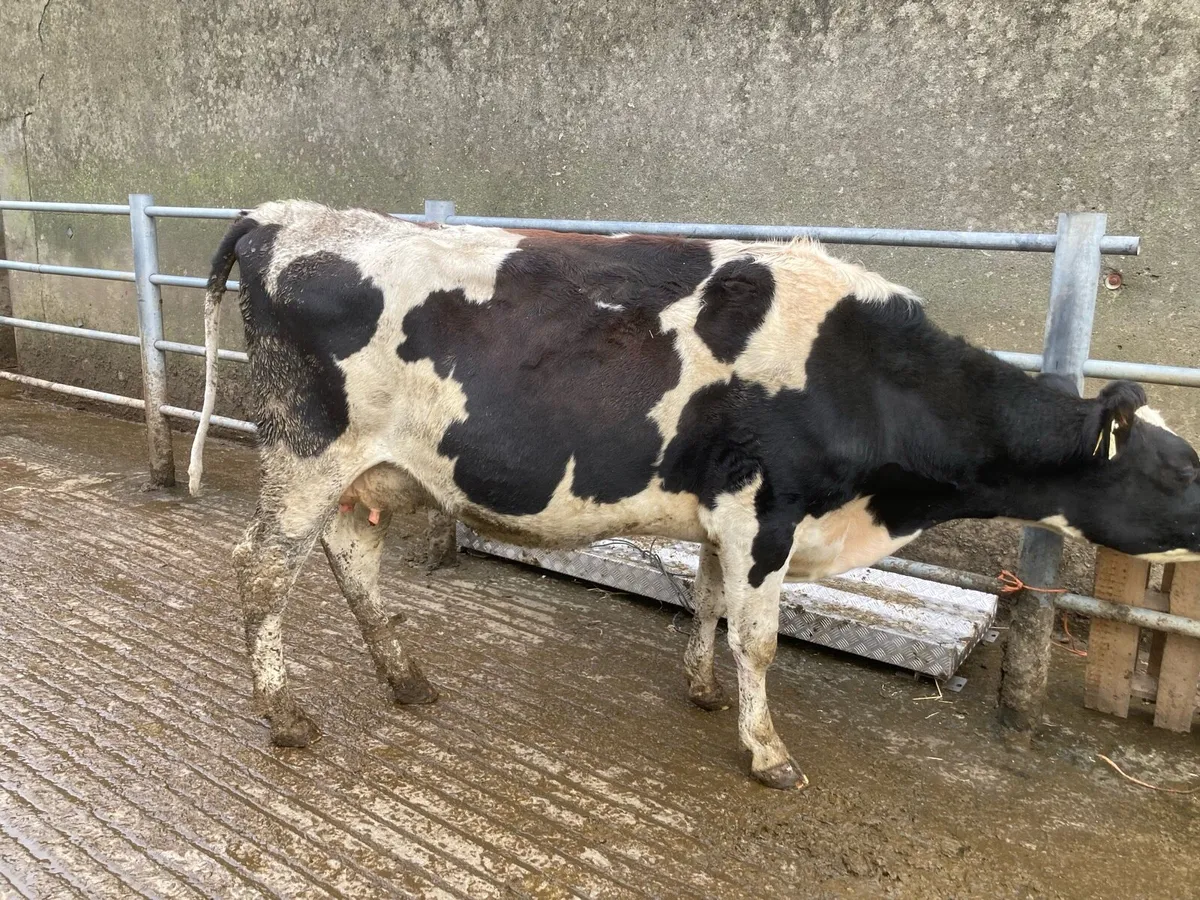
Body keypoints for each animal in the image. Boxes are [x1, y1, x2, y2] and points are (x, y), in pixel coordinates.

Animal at [188, 201, 1200, 790]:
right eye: (1178, 470)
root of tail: (287, 213)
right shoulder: (767, 509)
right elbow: (760, 638)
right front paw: (768, 751)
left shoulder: (726, 514)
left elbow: (711, 602)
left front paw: (703, 691)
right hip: (305, 452)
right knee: (260, 572)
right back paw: (286, 717)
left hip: (365, 470)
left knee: (352, 556)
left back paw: (407, 679)